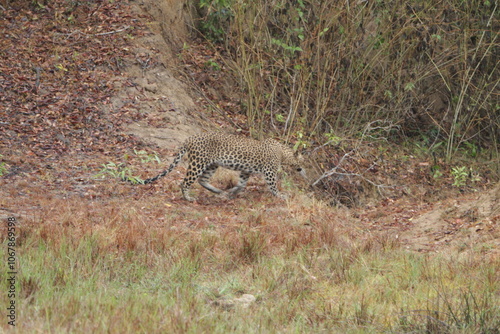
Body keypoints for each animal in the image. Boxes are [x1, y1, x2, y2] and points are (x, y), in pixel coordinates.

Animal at [142, 132, 304, 201]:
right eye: (302, 162)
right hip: (198, 163)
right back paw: (188, 198)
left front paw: (232, 192)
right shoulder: (269, 171)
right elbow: (273, 186)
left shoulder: (245, 171)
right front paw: (280, 195)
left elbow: (241, 184)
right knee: (185, 182)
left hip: (211, 165)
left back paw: (218, 191)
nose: (303, 169)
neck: (283, 153)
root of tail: (190, 138)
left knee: (202, 180)